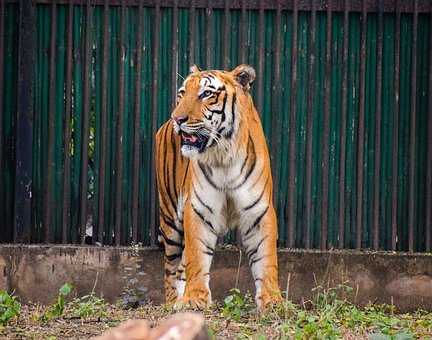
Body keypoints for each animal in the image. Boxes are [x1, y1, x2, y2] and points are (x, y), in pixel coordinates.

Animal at [154, 64, 280, 310]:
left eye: (206, 94)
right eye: (182, 93)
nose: (177, 119)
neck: (224, 156)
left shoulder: (259, 211)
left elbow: (266, 258)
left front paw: (272, 300)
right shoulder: (198, 210)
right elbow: (197, 258)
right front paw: (194, 299)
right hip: (170, 218)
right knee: (171, 267)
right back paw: (173, 302)